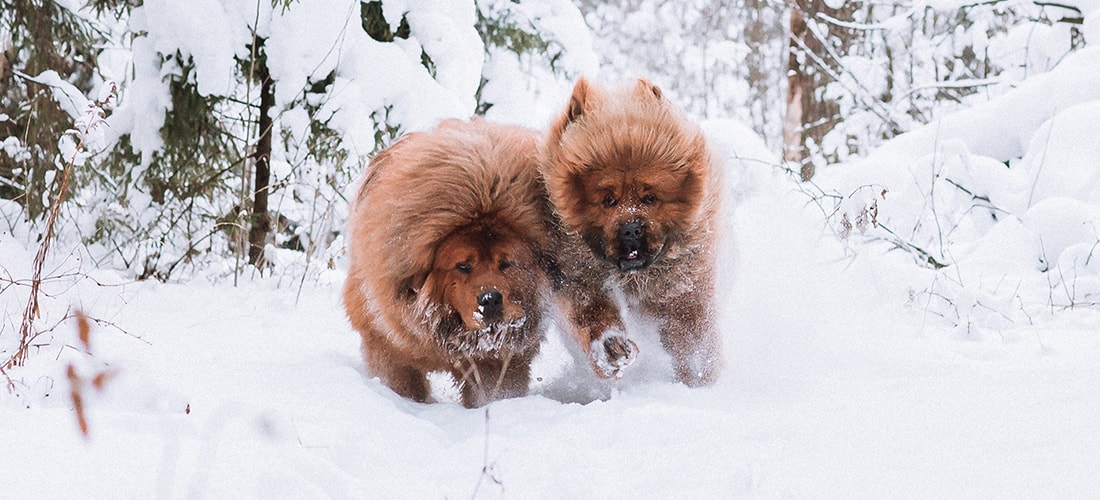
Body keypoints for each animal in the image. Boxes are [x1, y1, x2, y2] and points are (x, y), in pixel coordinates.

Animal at [539, 77, 721, 386]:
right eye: (608, 200)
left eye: (650, 198)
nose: (632, 228)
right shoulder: (577, 278)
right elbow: (593, 314)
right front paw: (611, 348)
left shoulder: (685, 288)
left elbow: (691, 339)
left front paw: (699, 381)